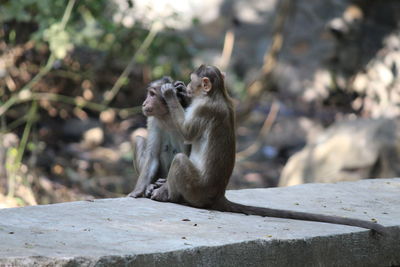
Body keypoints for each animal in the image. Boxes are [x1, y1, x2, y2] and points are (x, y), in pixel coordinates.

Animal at [148, 66, 388, 236]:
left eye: (192, 81)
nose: (186, 87)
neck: (218, 94)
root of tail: (218, 195)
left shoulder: (204, 109)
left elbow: (187, 133)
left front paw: (171, 94)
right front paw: (178, 91)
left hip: (197, 190)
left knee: (180, 160)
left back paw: (168, 194)